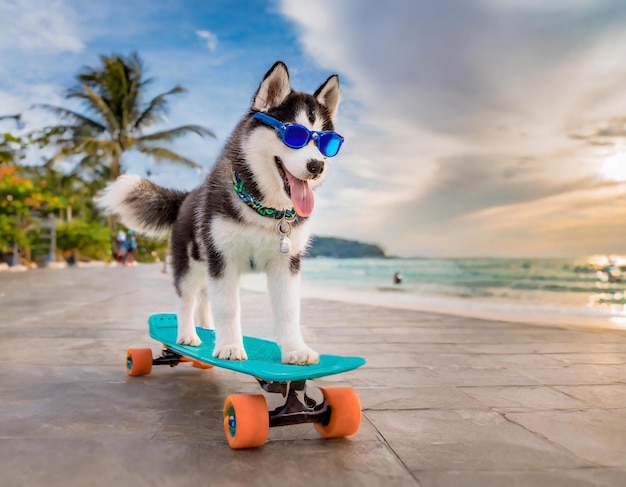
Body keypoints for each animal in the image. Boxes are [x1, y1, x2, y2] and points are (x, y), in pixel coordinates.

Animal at [97, 61, 342, 364]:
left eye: (326, 143)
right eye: (295, 135)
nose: (317, 166)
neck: (263, 210)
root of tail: (187, 196)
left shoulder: (286, 263)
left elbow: (288, 311)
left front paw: (295, 350)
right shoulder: (223, 259)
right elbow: (227, 307)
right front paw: (230, 347)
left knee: (204, 298)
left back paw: (206, 328)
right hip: (190, 265)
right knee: (186, 299)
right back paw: (188, 335)